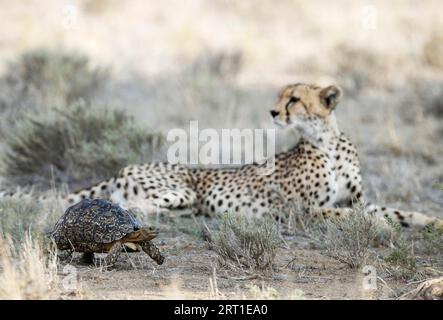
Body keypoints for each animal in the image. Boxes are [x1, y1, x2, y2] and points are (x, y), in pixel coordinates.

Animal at [9, 82, 440, 228]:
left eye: (294, 99)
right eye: (281, 96)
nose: (273, 112)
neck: (327, 141)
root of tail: (123, 166)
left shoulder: (358, 199)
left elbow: (394, 210)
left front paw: (429, 221)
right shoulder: (301, 211)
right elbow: (347, 215)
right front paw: (381, 227)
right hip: (180, 189)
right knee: (132, 207)